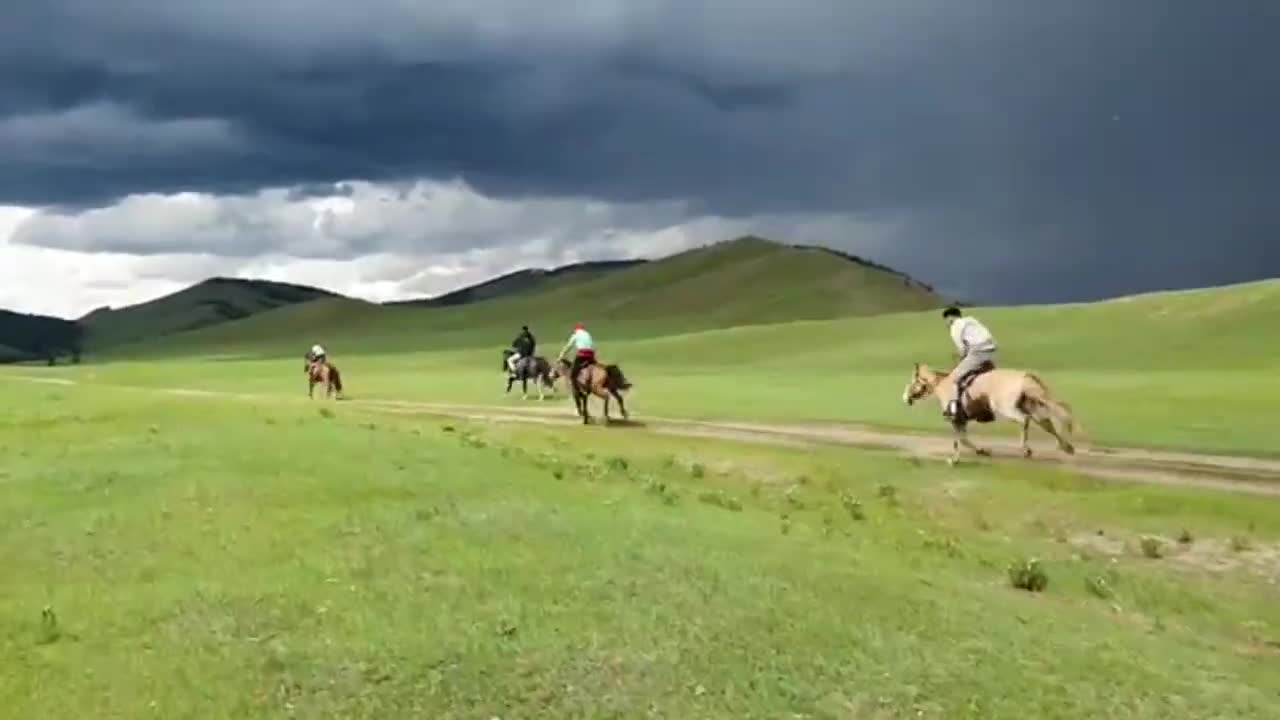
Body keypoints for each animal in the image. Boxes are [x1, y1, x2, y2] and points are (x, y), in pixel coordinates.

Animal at [901, 361, 1080, 461]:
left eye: (913, 381)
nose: (905, 397)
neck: (943, 385)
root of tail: (1025, 377)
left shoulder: (956, 419)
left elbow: (961, 440)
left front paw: (958, 458)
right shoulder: (962, 420)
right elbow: (964, 439)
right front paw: (982, 451)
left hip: (1008, 408)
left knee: (1024, 420)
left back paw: (1026, 449)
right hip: (1033, 405)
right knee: (1047, 424)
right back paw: (1067, 447)